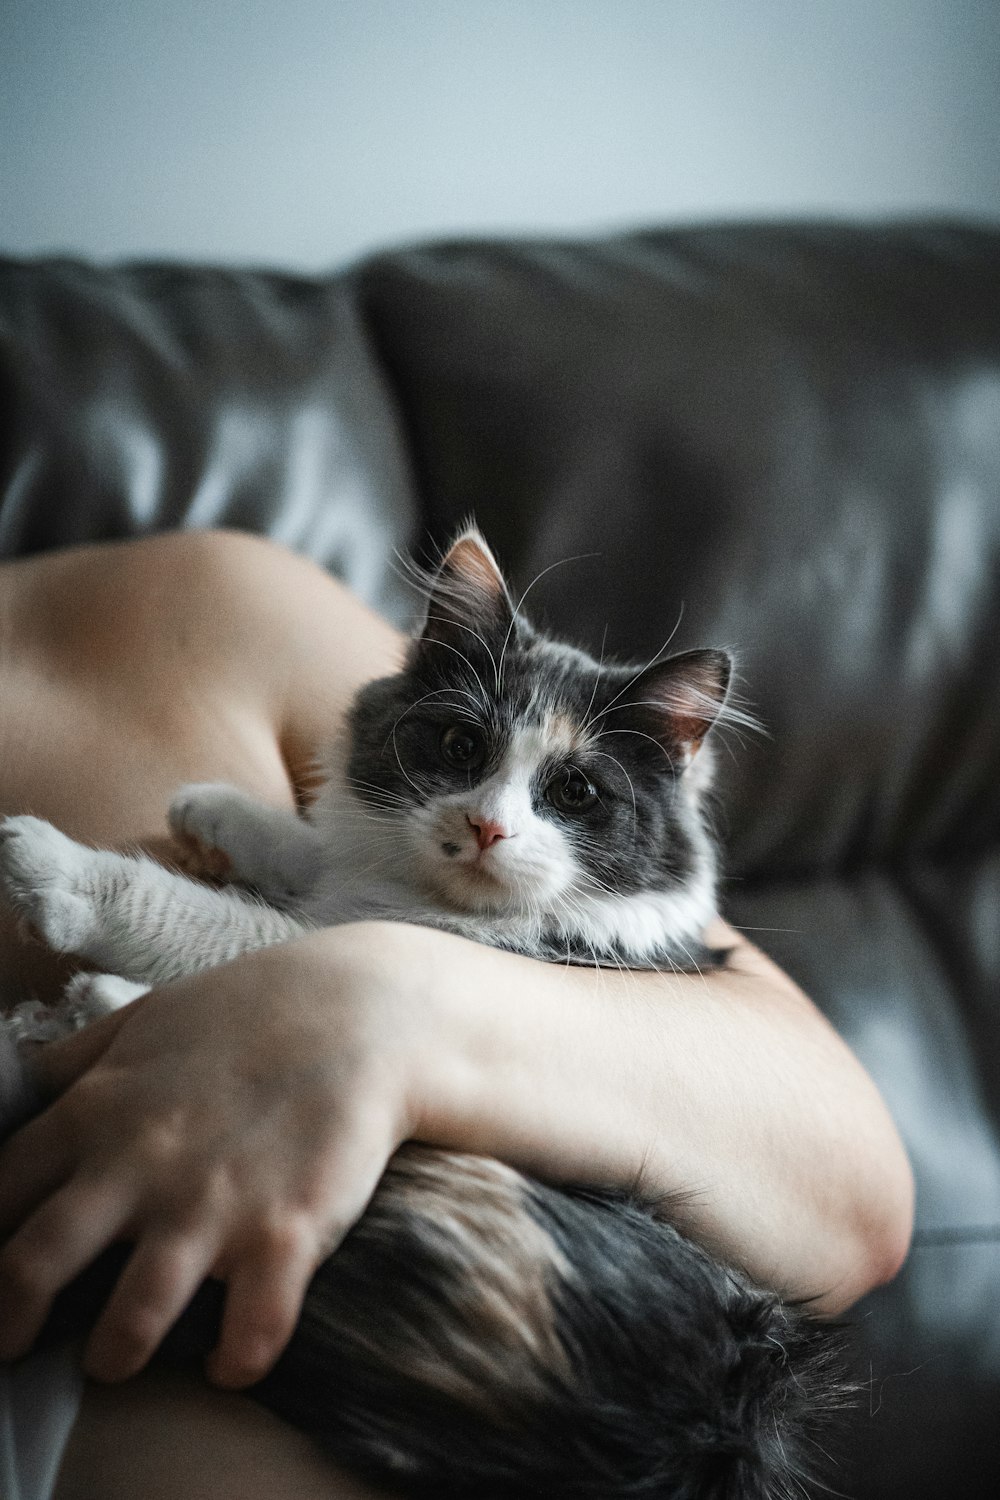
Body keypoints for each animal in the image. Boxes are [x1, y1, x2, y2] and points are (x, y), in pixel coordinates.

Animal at [0, 531, 851, 1500]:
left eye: (576, 794)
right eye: (459, 744)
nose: (487, 828)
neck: (423, 903)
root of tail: (713, 1424)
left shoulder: (339, 947)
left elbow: (198, 917)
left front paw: (51, 868)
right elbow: (312, 851)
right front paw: (215, 810)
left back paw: (79, 1006)